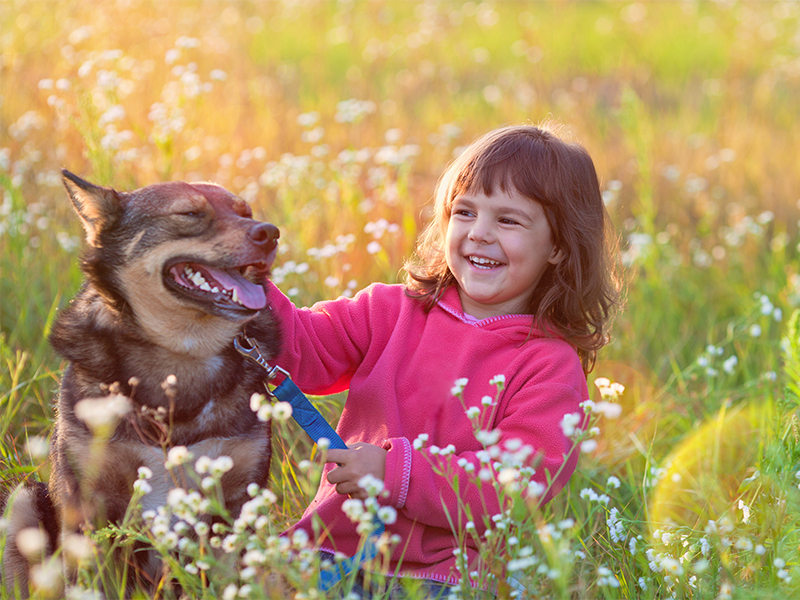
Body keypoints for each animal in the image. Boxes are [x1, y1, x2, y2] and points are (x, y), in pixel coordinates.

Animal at [2, 171, 282, 596]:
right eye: (189, 214)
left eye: (246, 212)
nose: (270, 232)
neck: (180, 358)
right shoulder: (90, 505)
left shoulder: (235, 504)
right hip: (24, 501)